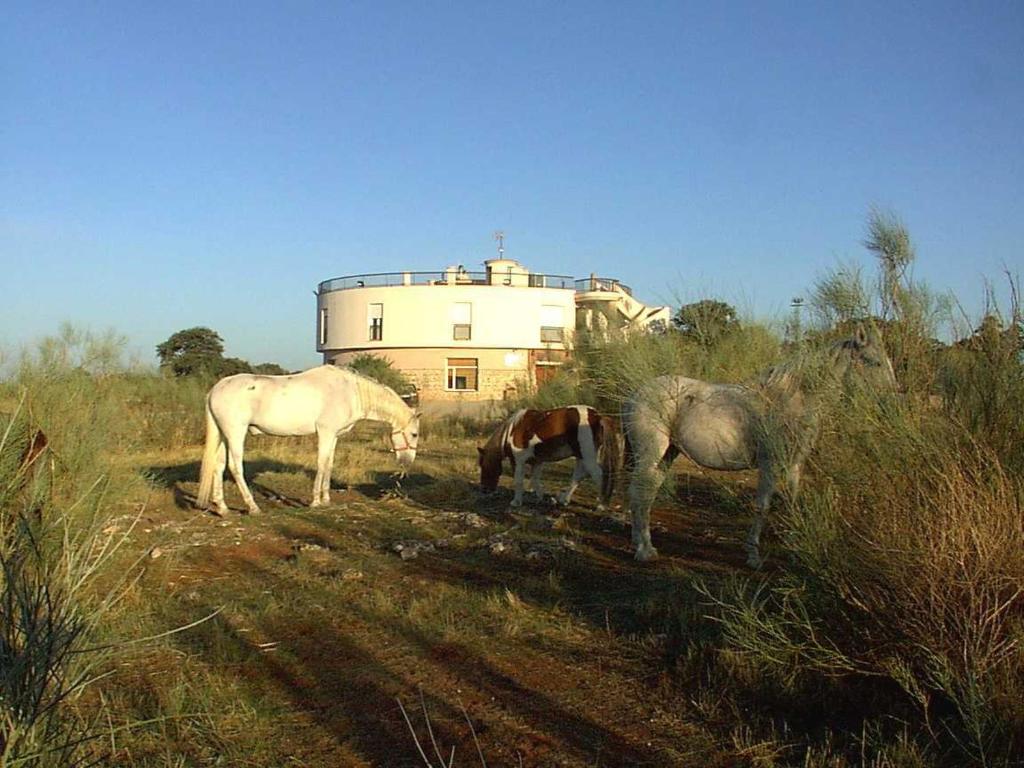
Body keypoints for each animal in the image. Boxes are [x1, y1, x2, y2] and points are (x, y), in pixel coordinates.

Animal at [193, 366, 417, 518]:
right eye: (415, 434)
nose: (407, 462)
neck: (349, 391)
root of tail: (215, 389)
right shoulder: (325, 433)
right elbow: (321, 464)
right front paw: (316, 501)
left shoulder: (334, 436)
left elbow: (329, 465)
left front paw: (326, 500)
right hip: (235, 433)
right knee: (235, 466)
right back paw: (253, 507)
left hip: (223, 434)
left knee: (218, 466)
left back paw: (222, 508)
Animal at [475, 409, 618, 512]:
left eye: (483, 466)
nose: (484, 490)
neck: (512, 430)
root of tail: (598, 417)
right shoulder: (537, 462)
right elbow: (535, 479)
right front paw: (540, 497)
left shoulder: (519, 461)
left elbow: (519, 481)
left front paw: (516, 502)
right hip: (581, 456)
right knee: (578, 476)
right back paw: (564, 499)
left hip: (587, 456)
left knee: (598, 475)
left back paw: (601, 504)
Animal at [618, 323, 892, 565]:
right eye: (875, 362)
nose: (891, 404)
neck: (790, 399)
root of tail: (636, 395)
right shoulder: (769, 465)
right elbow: (763, 506)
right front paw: (753, 556)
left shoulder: (795, 464)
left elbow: (792, 503)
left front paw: (795, 550)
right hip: (651, 455)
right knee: (639, 494)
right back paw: (643, 552)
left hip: (666, 455)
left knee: (647, 494)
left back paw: (645, 545)